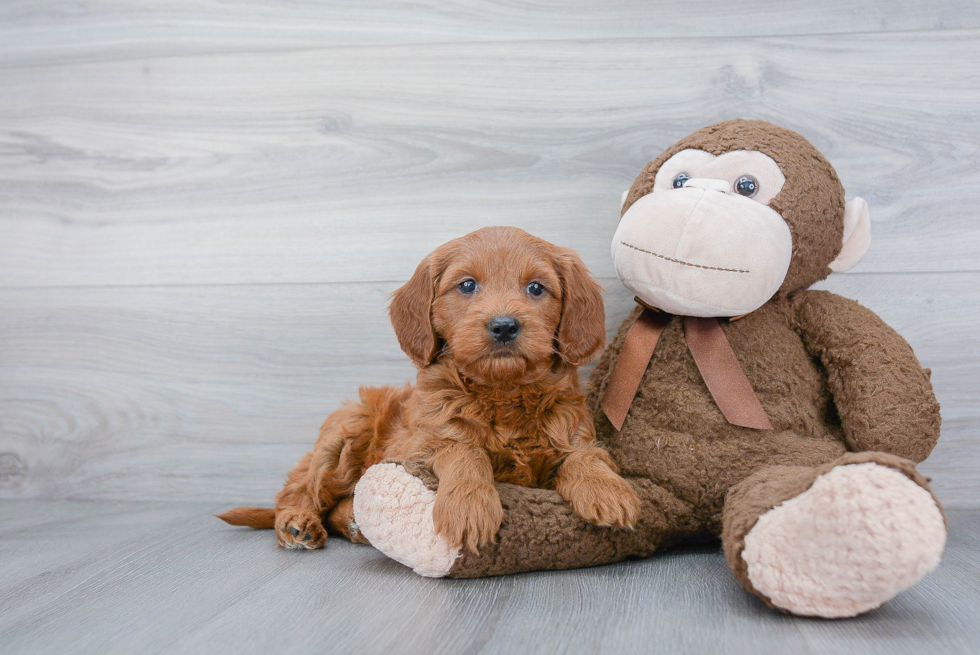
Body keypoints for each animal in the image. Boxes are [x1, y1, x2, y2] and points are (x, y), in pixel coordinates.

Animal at [217, 227, 640, 552]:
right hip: (345, 430)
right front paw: (469, 507)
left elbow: (585, 457)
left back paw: (355, 523)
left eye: (536, 288)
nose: (504, 326)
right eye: (467, 285)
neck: (501, 394)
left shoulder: (575, 433)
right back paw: (298, 523)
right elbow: (464, 450)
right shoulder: (420, 444)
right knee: (300, 490)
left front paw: (607, 491)